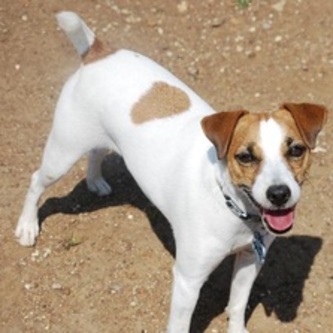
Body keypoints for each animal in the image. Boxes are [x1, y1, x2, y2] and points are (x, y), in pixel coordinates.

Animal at [16, 11, 326, 332]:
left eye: (296, 150)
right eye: (245, 157)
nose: (279, 194)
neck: (231, 205)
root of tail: (98, 50)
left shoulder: (249, 259)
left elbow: (238, 305)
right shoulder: (188, 280)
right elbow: (181, 323)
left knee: (97, 151)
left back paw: (96, 180)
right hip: (62, 154)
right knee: (36, 181)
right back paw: (27, 226)